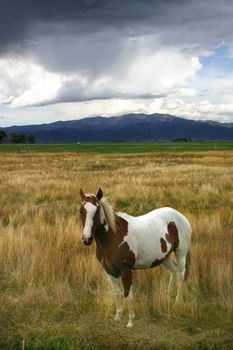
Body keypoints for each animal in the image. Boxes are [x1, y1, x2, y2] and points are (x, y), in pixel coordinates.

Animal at [79, 189, 192, 328]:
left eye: (97, 210)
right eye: (81, 210)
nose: (87, 239)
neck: (114, 237)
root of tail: (180, 216)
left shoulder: (126, 271)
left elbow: (128, 294)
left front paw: (130, 321)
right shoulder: (109, 271)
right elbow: (117, 293)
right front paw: (118, 316)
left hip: (181, 253)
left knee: (181, 274)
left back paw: (177, 302)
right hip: (164, 257)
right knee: (174, 271)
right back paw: (168, 295)